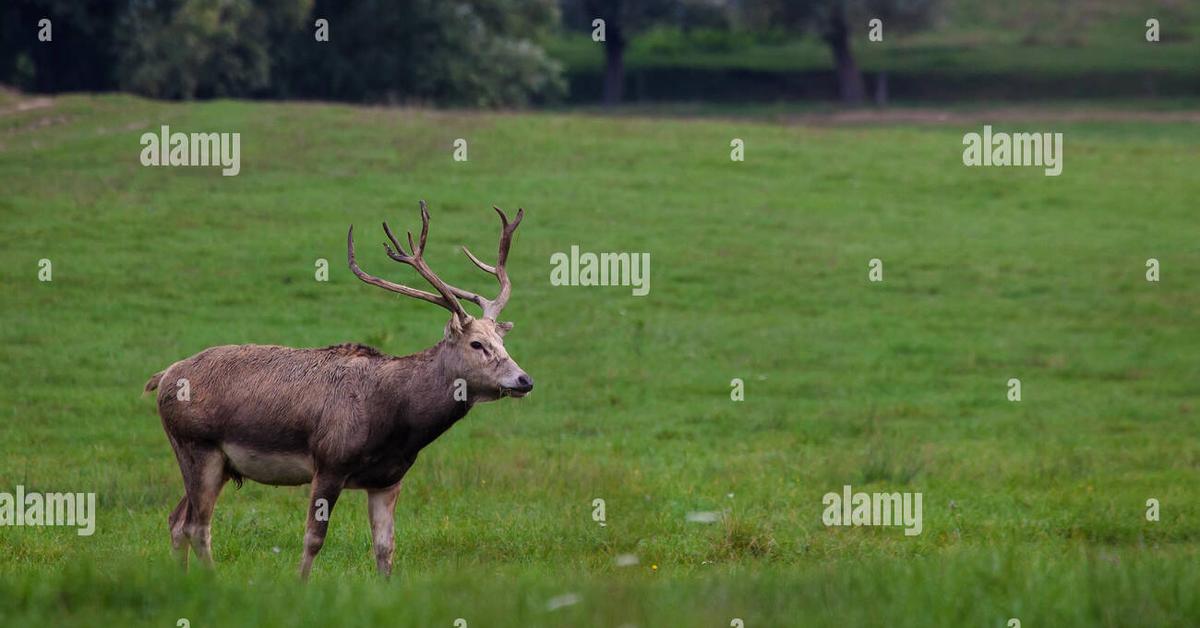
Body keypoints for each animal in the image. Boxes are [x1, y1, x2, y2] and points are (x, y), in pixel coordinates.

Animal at [142, 201, 532, 581]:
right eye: (477, 344)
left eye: (502, 341)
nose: (524, 380)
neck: (396, 421)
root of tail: (163, 376)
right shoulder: (329, 461)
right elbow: (313, 539)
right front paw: (300, 585)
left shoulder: (389, 479)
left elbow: (385, 548)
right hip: (197, 446)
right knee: (197, 526)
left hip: (217, 462)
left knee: (176, 520)